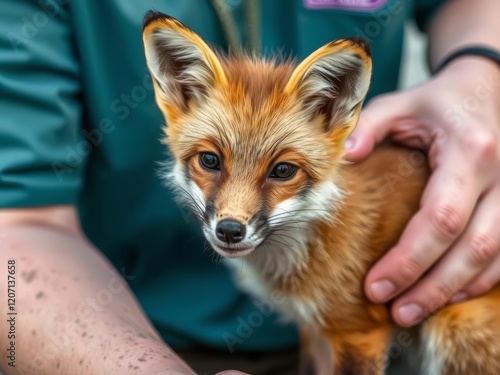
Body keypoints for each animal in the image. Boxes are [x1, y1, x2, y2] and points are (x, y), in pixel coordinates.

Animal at [142, 10, 500, 375]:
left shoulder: (359, 331)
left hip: (453, 328)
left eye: (283, 170)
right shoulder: (312, 329)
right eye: (210, 160)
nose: (229, 230)